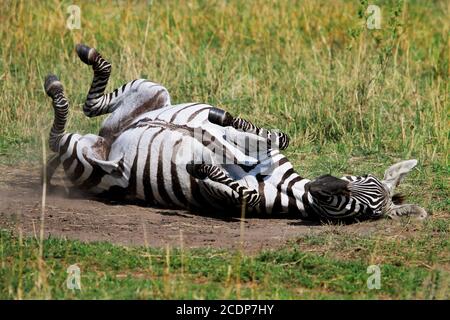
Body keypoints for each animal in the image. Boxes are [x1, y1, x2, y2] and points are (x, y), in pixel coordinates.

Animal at [44, 43, 428, 222]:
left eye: (362, 211)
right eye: (360, 178)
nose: (322, 185)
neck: (287, 187)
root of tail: (107, 142)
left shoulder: (230, 200)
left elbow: (242, 193)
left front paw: (203, 167)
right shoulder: (267, 149)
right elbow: (275, 137)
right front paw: (223, 121)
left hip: (90, 160)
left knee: (59, 137)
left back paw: (57, 91)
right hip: (153, 90)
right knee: (89, 106)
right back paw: (76, 67)